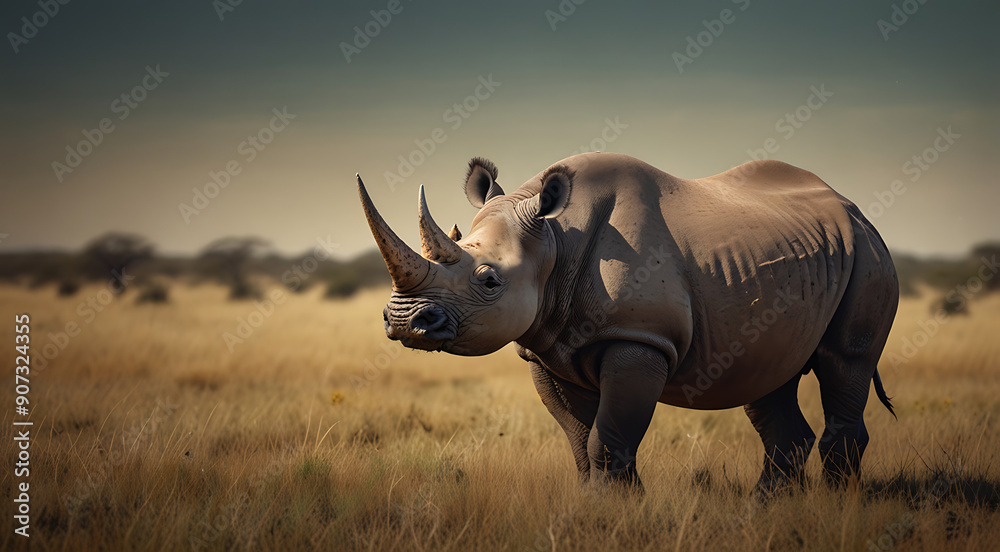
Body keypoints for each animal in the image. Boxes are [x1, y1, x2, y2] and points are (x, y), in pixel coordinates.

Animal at [357, 153, 898, 491]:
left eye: (488, 280)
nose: (403, 321)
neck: (555, 240)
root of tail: (854, 210)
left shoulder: (640, 340)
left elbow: (608, 436)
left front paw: (618, 510)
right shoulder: (547, 347)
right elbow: (580, 440)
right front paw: (599, 508)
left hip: (868, 253)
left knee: (844, 362)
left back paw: (836, 506)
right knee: (767, 376)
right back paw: (767, 510)